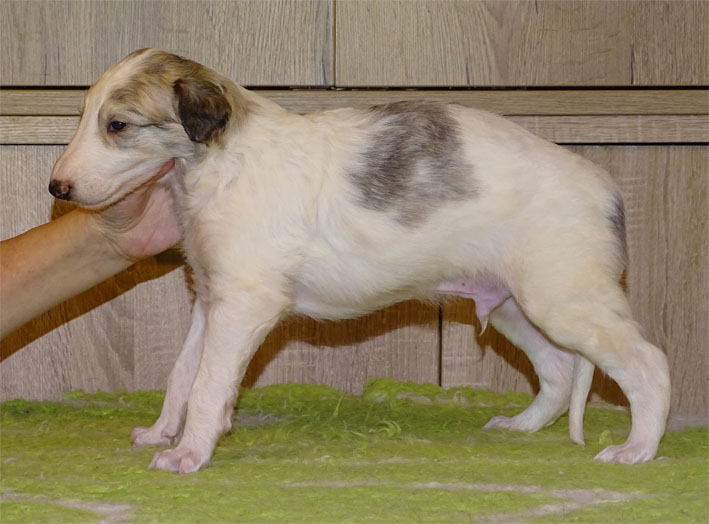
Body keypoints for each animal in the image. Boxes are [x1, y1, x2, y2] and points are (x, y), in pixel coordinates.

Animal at [49, 49, 670, 473]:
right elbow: (183, 375)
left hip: (563, 299)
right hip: (516, 304)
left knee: (649, 363)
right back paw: (521, 426)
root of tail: (605, 190)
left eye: (118, 125)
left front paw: (189, 454)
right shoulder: (212, 297)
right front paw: (163, 434)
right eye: (85, 117)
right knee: (561, 371)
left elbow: (208, 385)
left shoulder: (245, 302)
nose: (57, 188)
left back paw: (639, 448)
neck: (220, 163)